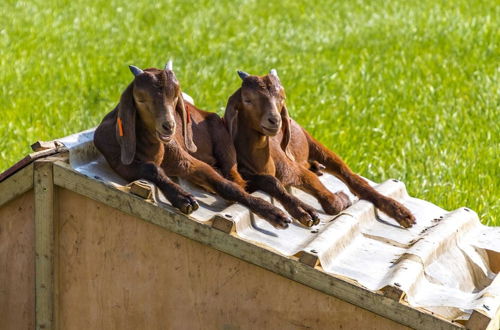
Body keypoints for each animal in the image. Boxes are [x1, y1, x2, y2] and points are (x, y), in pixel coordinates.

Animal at [93, 61, 292, 227]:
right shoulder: (120, 163)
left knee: (237, 179)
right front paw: (184, 199)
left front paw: (275, 214)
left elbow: (226, 186)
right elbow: (150, 169)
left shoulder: (187, 161)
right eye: (141, 99)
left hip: (225, 146)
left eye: (175, 96)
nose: (169, 126)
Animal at [225, 68, 416, 228]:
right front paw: (304, 212)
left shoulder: (294, 169)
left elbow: (331, 202)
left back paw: (402, 213)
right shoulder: (248, 176)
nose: (275, 120)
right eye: (247, 99)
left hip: (314, 143)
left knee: (351, 176)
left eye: (282, 98)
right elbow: (270, 182)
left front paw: (342, 199)